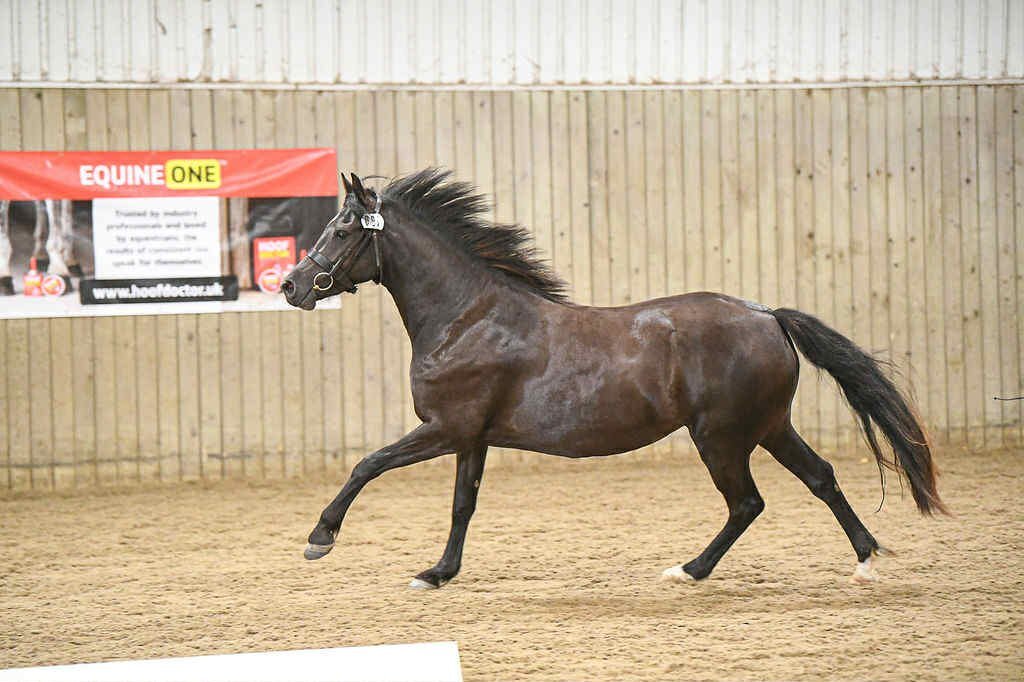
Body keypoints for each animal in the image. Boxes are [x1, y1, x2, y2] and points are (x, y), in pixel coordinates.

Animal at [282, 169, 946, 589]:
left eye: (342, 231)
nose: (290, 285)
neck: (466, 317)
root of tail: (766, 314)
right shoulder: (472, 437)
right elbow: (462, 505)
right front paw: (438, 574)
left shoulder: (445, 428)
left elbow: (367, 464)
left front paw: (320, 538)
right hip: (769, 427)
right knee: (820, 478)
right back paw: (865, 560)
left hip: (722, 436)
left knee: (747, 502)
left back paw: (689, 570)